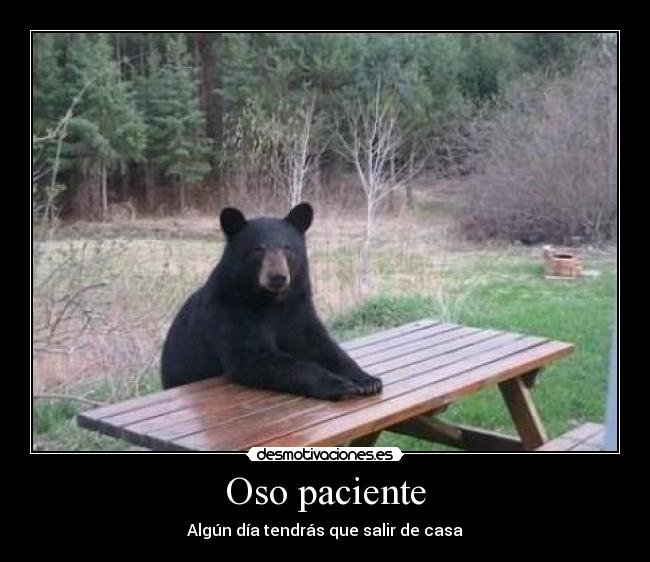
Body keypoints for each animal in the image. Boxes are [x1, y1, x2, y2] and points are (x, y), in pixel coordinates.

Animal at [160, 202, 383, 401]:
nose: (278, 277)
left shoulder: (298, 307)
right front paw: (339, 385)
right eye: (258, 249)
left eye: (287, 248)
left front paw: (367, 380)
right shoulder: (231, 311)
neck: (271, 301)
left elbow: (320, 344)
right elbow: (256, 357)